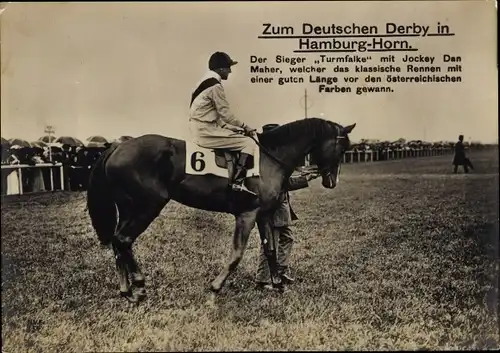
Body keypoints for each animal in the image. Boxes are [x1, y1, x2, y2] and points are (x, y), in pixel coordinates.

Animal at [88, 117, 358, 302]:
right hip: (147, 206)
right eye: (342, 148)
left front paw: (278, 284)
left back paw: (126, 289)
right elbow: (236, 254)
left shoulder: (263, 214)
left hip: (128, 209)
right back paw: (139, 285)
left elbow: (270, 250)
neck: (268, 157)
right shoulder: (247, 215)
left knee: (118, 242)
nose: (331, 181)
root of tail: (118, 146)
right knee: (123, 240)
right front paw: (216, 286)